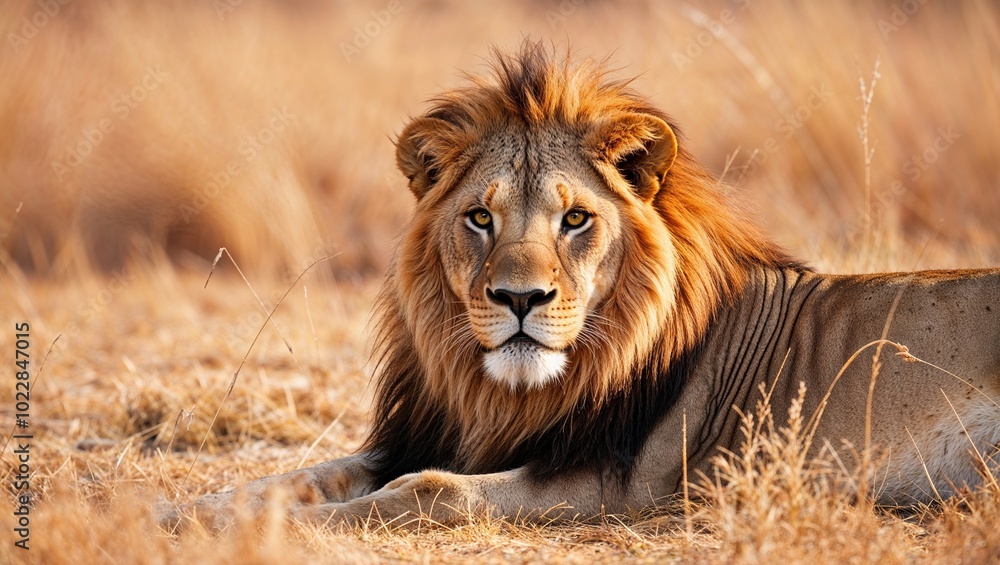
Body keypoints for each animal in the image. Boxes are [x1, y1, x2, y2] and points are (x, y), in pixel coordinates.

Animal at [166, 42, 1000, 531]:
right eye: (480, 217)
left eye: (575, 219)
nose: (520, 300)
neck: (499, 395)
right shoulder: (422, 434)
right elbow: (292, 478)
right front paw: (171, 507)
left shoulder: (615, 482)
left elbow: (424, 489)